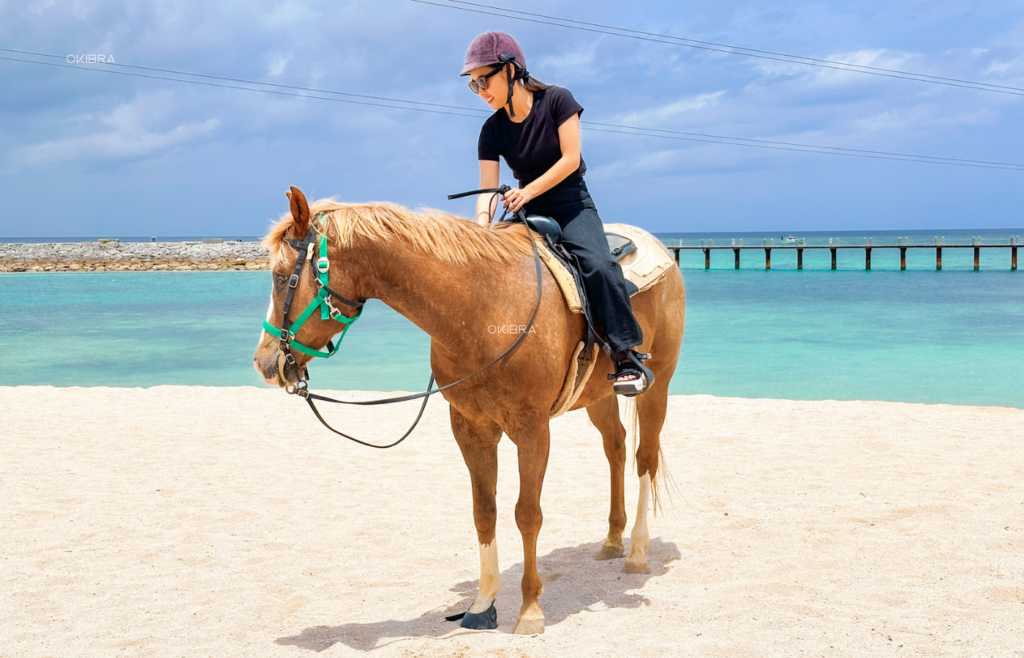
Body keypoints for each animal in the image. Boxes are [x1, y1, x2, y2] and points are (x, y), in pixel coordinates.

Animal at [250, 184, 684, 634]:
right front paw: (482, 603)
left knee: (645, 457)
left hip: (658, 384)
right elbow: (484, 511)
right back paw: (613, 540)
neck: (481, 308)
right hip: (597, 395)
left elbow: (527, 514)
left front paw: (530, 610)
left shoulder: (532, 429)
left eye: (281, 277)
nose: (265, 363)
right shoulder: (470, 428)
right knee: (616, 447)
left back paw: (637, 551)